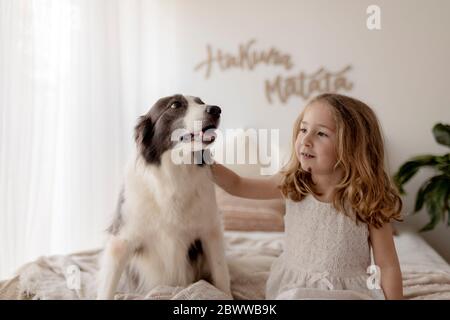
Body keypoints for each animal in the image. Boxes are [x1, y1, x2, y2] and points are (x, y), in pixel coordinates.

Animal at [96, 94, 230, 300]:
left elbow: (221, 276)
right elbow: (107, 287)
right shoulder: (121, 240)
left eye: (201, 102)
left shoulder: (211, 232)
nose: (216, 109)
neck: (175, 174)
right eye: (175, 105)